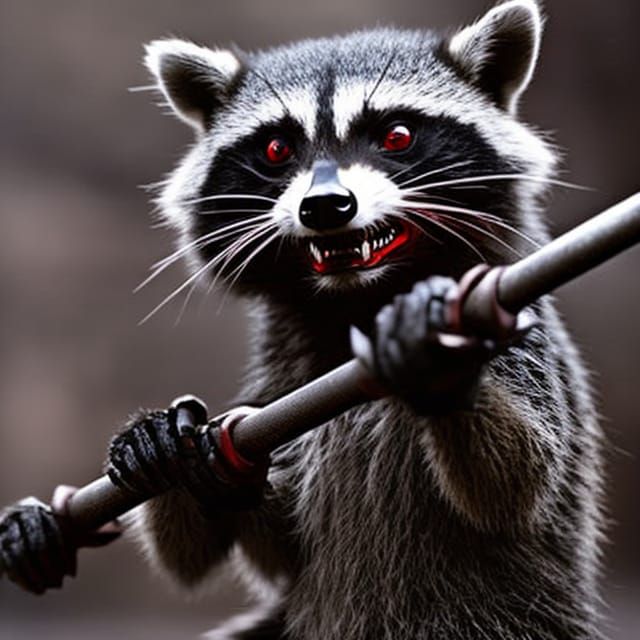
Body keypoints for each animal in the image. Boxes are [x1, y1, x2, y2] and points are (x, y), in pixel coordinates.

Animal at [0, 1, 605, 638]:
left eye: (396, 135)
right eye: (276, 149)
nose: (325, 206)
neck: (357, 297)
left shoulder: (508, 314)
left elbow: (516, 481)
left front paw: (441, 374)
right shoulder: (284, 367)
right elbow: (264, 548)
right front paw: (183, 460)